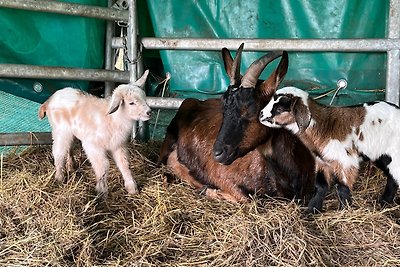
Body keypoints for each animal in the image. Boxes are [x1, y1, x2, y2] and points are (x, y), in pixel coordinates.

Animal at [157, 43, 316, 203]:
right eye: (224, 107)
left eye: (251, 110)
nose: (217, 154)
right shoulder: (224, 177)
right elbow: (245, 198)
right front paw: (209, 190)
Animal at [260, 87, 400, 214]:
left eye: (279, 109)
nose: (261, 114)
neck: (323, 126)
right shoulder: (322, 162)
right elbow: (321, 186)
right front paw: (312, 210)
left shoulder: (345, 161)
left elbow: (342, 188)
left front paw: (344, 211)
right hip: (383, 156)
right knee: (392, 179)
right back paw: (384, 202)